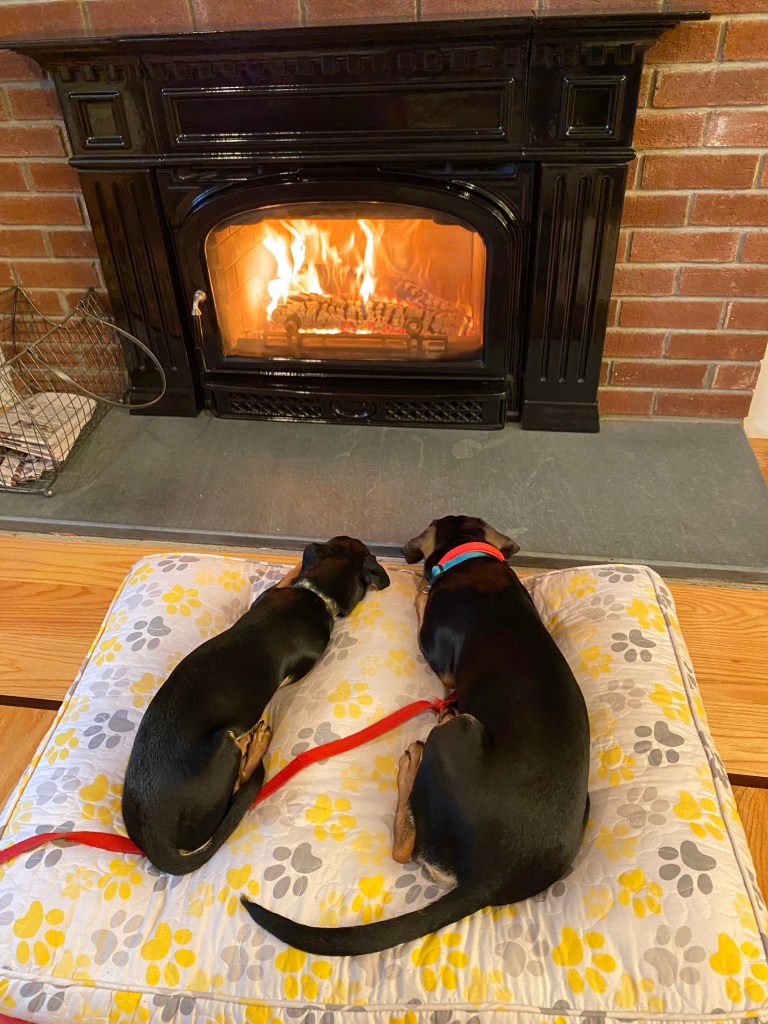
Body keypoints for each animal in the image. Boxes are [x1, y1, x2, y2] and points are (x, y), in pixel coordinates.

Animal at [242, 515, 590, 954]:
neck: (472, 557)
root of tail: (491, 878)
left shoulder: (440, 662)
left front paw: (421, 593)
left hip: (456, 735)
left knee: (403, 849)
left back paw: (411, 762)